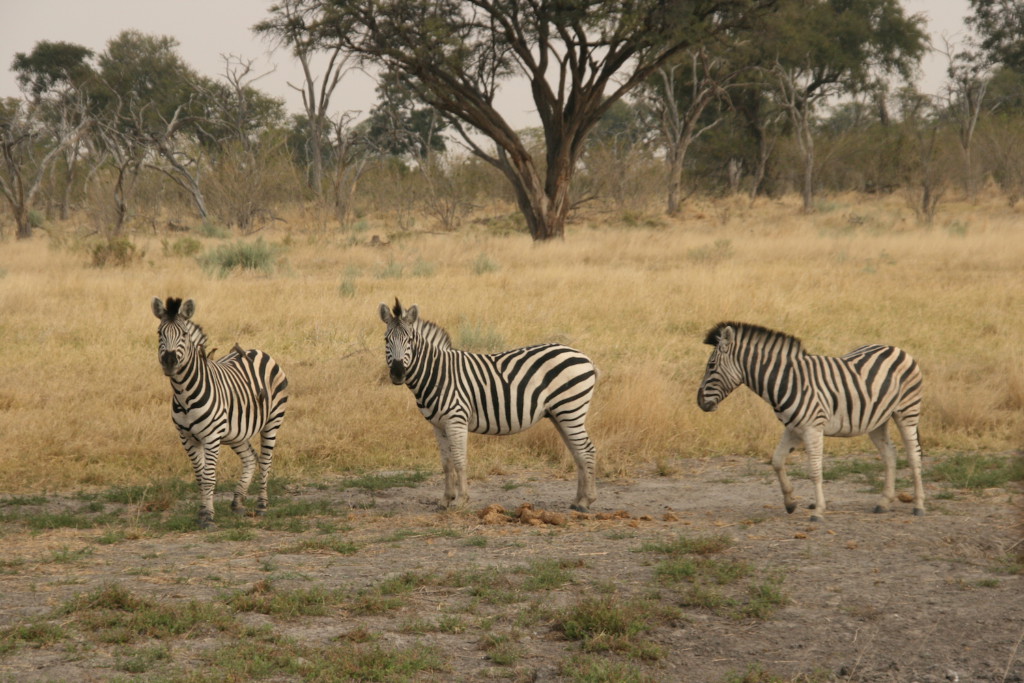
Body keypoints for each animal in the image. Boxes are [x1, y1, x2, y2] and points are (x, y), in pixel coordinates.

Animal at [151, 294, 288, 528]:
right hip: (236, 432)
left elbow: (208, 477)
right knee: (250, 458)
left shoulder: (211, 437)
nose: (169, 362)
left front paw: (207, 516)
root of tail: (257, 350)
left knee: (265, 460)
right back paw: (237, 502)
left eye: (184, 334)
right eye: (160, 333)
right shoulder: (186, 437)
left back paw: (262, 505)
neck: (183, 393)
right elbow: (199, 476)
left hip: (273, 421)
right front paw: (202, 511)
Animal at [378, 299, 598, 511]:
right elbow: (446, 463)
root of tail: (584, 356)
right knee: (578, 453)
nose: (397, 374)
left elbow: (459, 460)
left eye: (410, 340)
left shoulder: (456, 419)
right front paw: (445, 499)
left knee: (586, 450)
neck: (438, 374)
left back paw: (586, 501)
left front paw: (460, 500)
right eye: (386, 340)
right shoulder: (438, 425)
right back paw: (578, 500)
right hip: (559, 414)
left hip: (570, 410)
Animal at [700, 323, 925, 520]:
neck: (787, 380)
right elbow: (777, 461)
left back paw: (919, 505)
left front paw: (818, 511)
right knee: (890, 454)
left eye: (711, 366)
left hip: (907, 411)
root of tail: (897, 348)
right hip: (877, 420)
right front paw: (790, 502)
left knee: (914, 455)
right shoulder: (792, 429)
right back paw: (884, 502)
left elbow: (815, 471)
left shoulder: (812, 428)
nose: (699, 402)